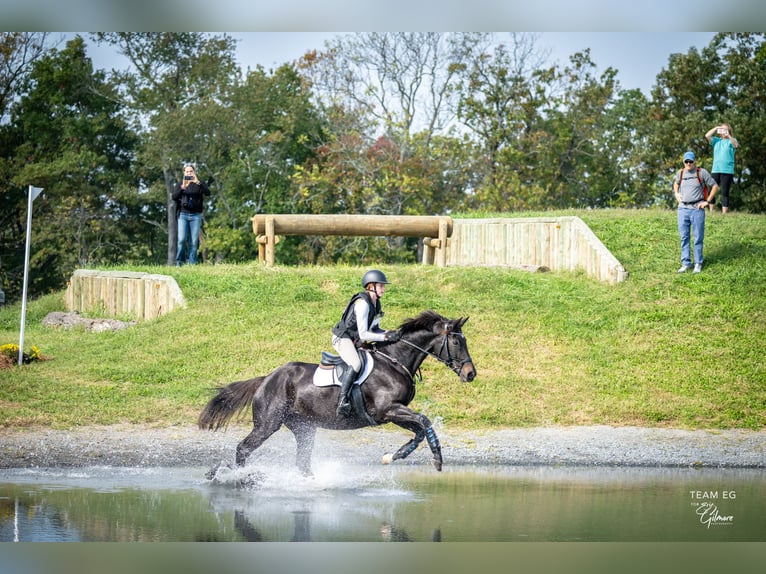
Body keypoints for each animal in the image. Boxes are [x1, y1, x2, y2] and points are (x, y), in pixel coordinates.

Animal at [200, 310, 474, 476]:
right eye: (457, 342)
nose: (471, 374)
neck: (395, 361)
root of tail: (266, 379)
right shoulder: (389, 409)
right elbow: (424, 421)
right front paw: (437, 459)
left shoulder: (392, 414)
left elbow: (418, 431)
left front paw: (393, 456)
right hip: (268, 424)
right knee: (243, 448)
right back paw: (237, 478)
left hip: (304, 427)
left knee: (302, 460)